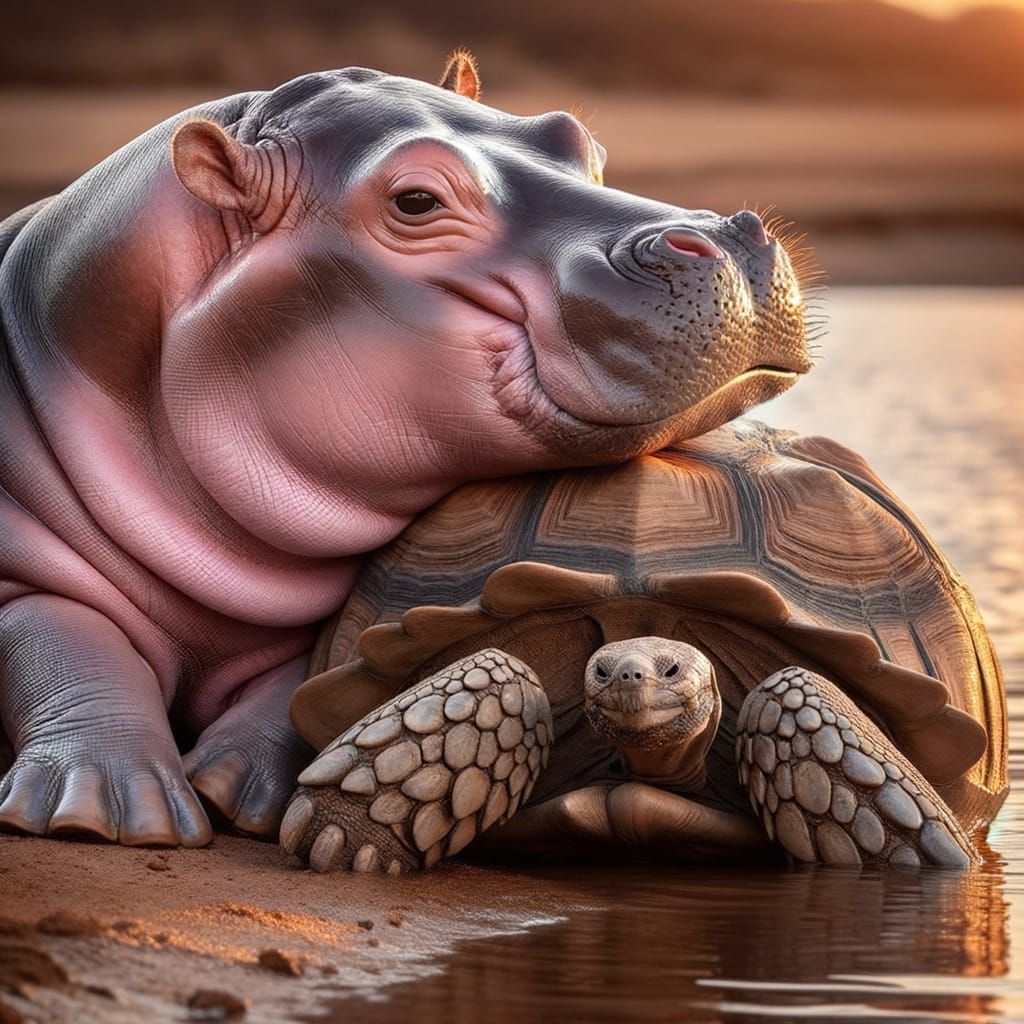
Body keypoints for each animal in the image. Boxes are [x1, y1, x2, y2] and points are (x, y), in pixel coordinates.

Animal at [0, 52, 811, 846]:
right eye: (416, 200)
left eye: (578, 138)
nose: (729, 235)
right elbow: (66, 640)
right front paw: (114, 809)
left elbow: (287, 687)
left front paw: (243, 792)